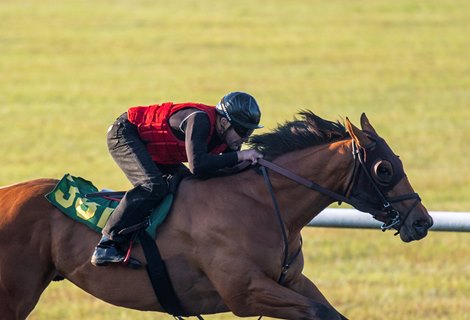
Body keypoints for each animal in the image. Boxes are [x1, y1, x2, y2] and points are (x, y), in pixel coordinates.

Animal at [0, 111, 434, 318]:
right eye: (384, 169)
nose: (422, 221)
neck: (261, 203)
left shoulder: (292, 281)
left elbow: (330, 312)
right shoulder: (246, 293)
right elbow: (318, 313)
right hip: (14, 297)